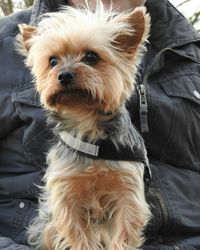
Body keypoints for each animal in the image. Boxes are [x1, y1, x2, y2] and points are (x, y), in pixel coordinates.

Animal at [17, 1, 151, 248]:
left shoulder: (127, 194)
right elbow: (78, 235)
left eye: (91, 57)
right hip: (46, 227)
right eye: (52, 61)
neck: (87, 127)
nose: (64, 75)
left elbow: (124, 232)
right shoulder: (66, 197)